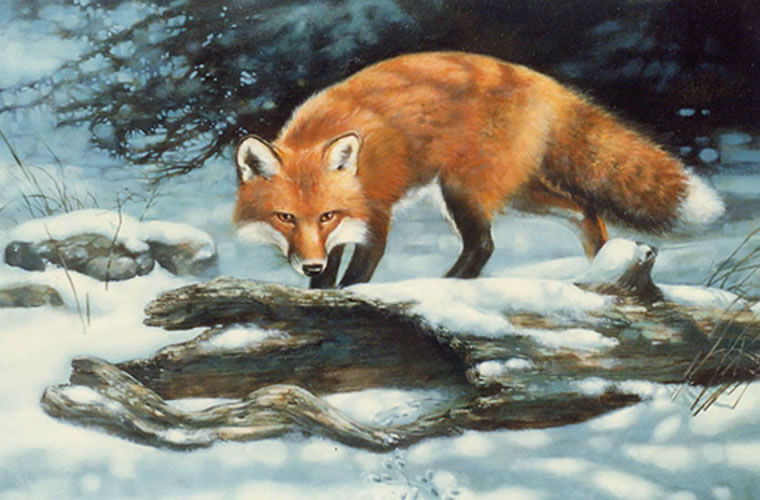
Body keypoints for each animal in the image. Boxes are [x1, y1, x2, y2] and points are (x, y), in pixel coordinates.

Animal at [233, 51, 724, 289]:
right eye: (285, 217)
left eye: (325, 214)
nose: (308, 265)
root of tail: (539, 80)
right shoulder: (344, 227)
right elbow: (331, 272)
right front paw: (319, 288)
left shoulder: (374, 211)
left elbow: (356, 274)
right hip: (518, 193)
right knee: (585, 209)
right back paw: (600, 269)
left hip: (462, 190)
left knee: (484, 245)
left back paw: (447, 285)